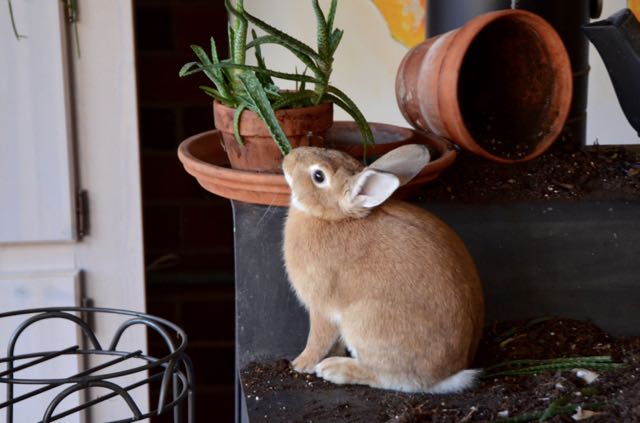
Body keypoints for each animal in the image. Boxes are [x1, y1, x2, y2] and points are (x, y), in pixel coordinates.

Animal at [282, 144, 484, 394]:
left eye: (318, 176)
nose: (288, 159)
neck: (333, 218)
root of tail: (443, 377)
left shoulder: (321, 307)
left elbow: (318, 339)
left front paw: (300, 364)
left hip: (363, 322)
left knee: (385, 376)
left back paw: (334, 369)